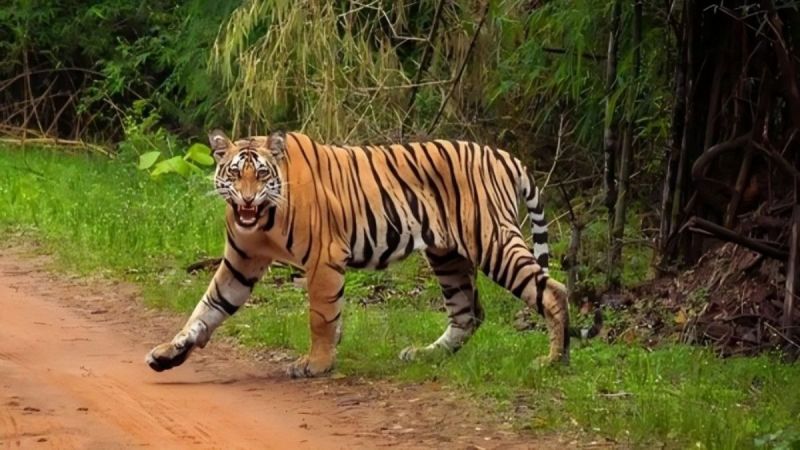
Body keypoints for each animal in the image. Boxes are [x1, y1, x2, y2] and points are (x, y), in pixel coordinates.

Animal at [146, 130, 570, 378]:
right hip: (447, 255)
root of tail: (504, 155)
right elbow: (206, 309)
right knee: (469, 313)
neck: (262, 220)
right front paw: (168, 353)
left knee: (553, 291)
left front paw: (316, 364)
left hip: (491, 239)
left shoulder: (323, 257)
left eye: (262, 174)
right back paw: (424, 355)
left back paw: (553, 360)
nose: (247, 199)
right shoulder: (240, 263)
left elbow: (321, 316)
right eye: (235, 174)